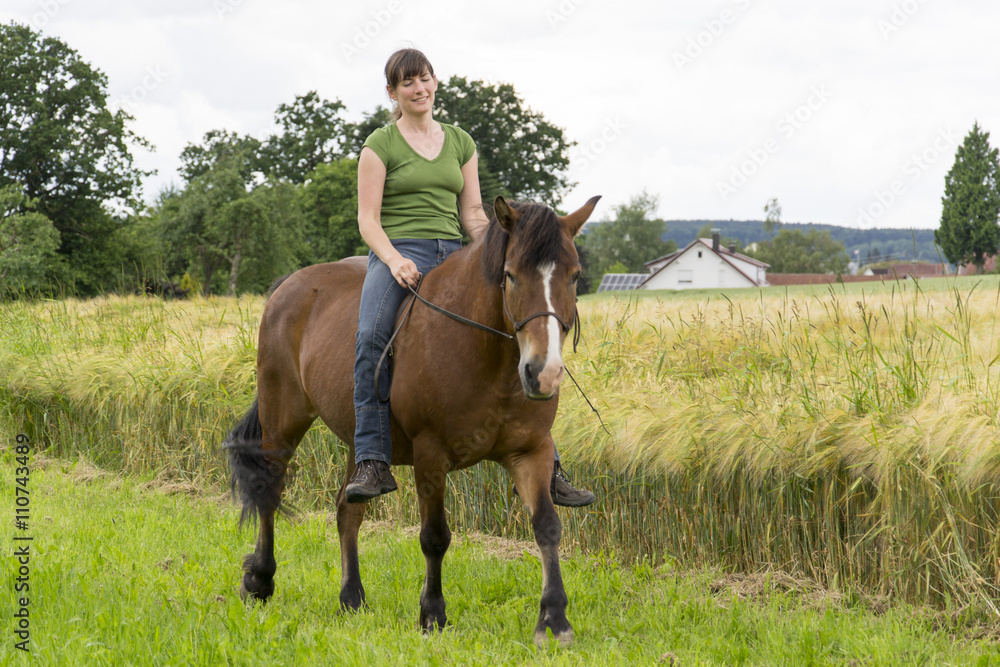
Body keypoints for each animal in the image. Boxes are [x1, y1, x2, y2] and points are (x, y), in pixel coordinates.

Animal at [226, 194, 596, 648]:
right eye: (510, 276)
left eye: (575, 277)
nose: (543, 373)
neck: (488, 355)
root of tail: (288, 286)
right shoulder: (430, 455)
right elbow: (435, 537)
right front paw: (432, 614)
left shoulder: (531, 451)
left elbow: (547, 526)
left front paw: (554, 619)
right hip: (283, 418)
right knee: (269, 491)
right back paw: (260, 581)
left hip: (358, 443)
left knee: (347, 509)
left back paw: (352, 598)